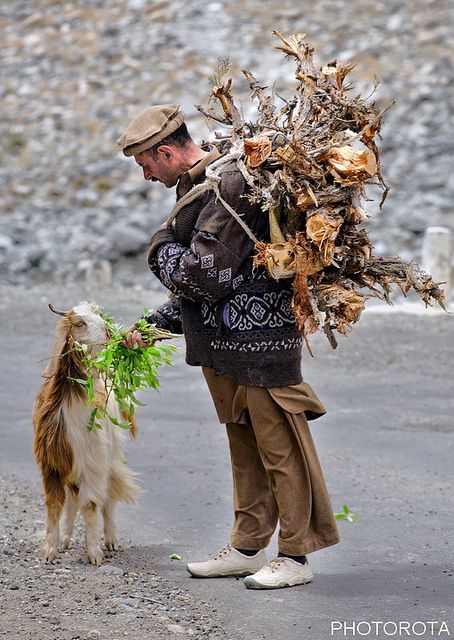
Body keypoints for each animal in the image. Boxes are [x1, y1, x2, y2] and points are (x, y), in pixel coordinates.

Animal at [33, 302, 140, 564]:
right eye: (80, 323)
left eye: (99, 316)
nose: (110, 333)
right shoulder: (51, 463)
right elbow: (54, 505)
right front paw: (50, 551)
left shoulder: (92, 462)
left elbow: (91, 505)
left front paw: (94, 554)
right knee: (72, 499)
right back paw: (65, 539)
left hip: (110, 455)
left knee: (108, 497)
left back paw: (111, 540)